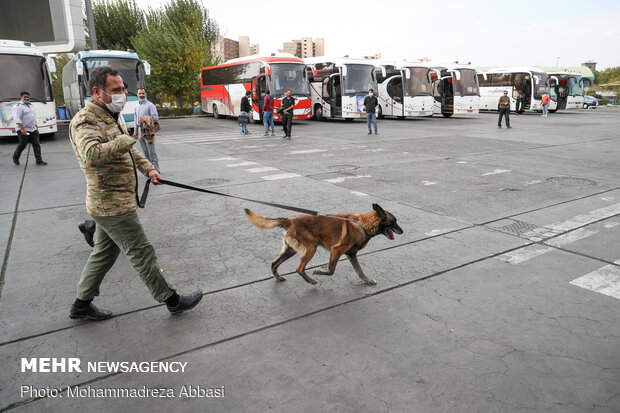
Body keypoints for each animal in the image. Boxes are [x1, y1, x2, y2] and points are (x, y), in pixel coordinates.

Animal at [245, 203, 404, 284]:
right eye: (394, 222)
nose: (402, 231)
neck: (362, 224)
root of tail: (290, 220)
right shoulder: (336, 251)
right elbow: (331, 270)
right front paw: (319, 271)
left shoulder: (351, 255)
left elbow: (359, 270)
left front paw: (367, 280)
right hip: (311, 248)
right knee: (299, 268)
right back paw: (311, 280)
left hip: (290, 250)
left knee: (274, 263)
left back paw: (278, 277)